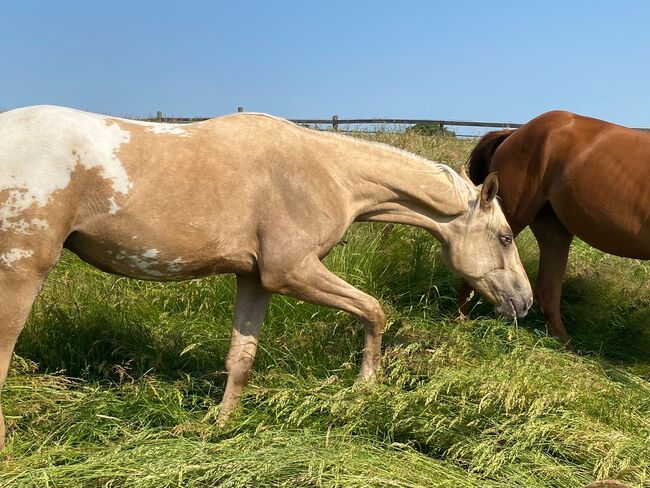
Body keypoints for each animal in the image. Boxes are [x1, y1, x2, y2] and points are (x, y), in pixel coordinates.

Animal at [0, 105, 532, 448]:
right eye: (506, 237)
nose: (523, 302)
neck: (328, 172)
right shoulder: (292, 271)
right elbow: (374, 311)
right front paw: (365, 388)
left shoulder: (255, 280)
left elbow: (241, 359)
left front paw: (221, 428)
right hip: (21, 272)